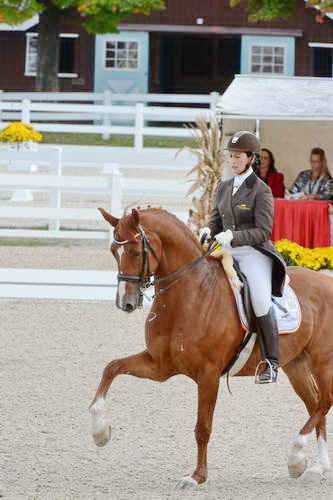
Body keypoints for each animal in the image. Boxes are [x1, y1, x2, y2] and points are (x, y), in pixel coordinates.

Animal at [89, 207, 332, 488]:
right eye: (113, 251)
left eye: (136, 252)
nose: (125, 303)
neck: (190, 294)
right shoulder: (159, 366)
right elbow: (112, 367)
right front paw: (100, 432)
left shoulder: (208, 375)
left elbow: (202, 428)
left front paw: (196, 477)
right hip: (297, 365)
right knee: (315, 405)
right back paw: (315, 467)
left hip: (323, 362)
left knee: (324, 402)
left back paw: (296, 455)